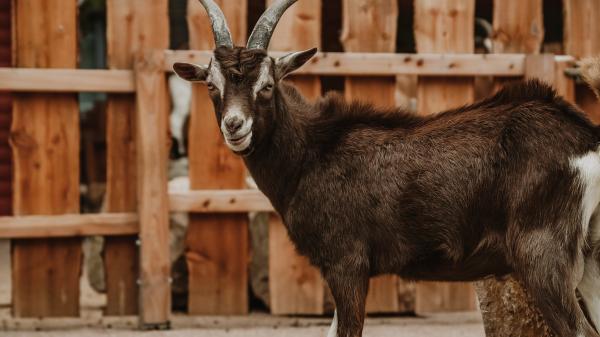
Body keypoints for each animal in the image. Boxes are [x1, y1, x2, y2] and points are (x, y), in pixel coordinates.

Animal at [173, 1, 600, 334]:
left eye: (266, 85)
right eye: (211, 85)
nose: (235, 126)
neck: (312, 153)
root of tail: (585, 138)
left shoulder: (346, 261)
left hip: (543, 252)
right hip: (590, 258)